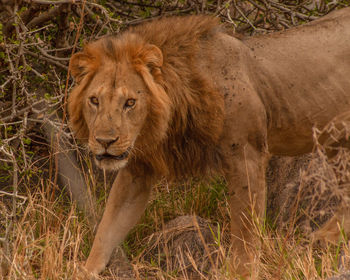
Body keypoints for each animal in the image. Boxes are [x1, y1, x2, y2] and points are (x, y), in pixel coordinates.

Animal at [68, 8, 350, 278]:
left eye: (130, 102)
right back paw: (325, 240)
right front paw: (85, 270)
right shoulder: (138, 169)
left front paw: (243, 273)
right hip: (337, 144)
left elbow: (245, 228)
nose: (105, 141)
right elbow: (109, 226)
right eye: (94, 100)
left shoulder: (246, 154)